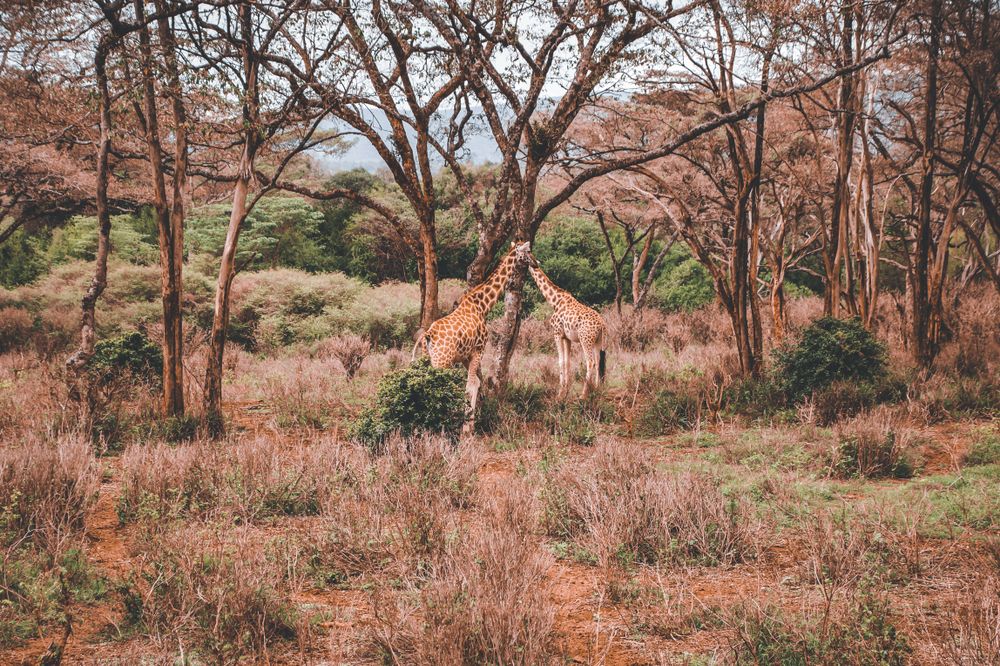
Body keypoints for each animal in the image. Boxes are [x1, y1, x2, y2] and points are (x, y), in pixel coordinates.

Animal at [412, 241, 533, 435]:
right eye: (528, 251)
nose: (536, 263)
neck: (482, 305)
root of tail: (428, 335)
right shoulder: (479, 349)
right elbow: (472, 384)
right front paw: (467, 429)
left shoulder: (464, 356)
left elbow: (474, 383)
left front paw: (468, 425)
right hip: (441, 361)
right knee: (435, 386)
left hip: (428, 357)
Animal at [527, 253, 607, 399]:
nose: (533, 263)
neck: (554, 301)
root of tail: (602, 324)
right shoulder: (566, 338)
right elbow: (567, 361)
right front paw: (565, 391)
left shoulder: (557, 333)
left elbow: (560, 361)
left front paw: (560, 393)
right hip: (598, 341)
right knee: (598, 361)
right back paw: (597, 390)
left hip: (585, 340)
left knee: (590, 362)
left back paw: (584, 394)